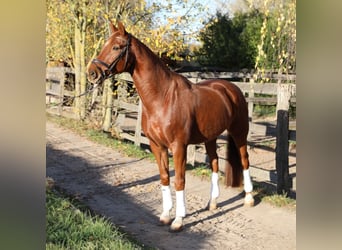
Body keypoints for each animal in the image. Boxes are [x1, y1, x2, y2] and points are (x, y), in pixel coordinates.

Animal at [87, 22, 254, 232]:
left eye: (116, 47)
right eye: (105, 45)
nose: (91, 73)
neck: (162, 97)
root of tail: (231, 89)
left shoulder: (179, 146)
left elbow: (179, 180)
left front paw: (178, 220)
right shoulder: (157, 146)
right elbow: (165, 177)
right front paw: (166, 215)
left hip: (239, 133)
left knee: (245, 161)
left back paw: (249, 198)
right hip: (210, 137)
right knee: (215, 163)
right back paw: (213, 203)